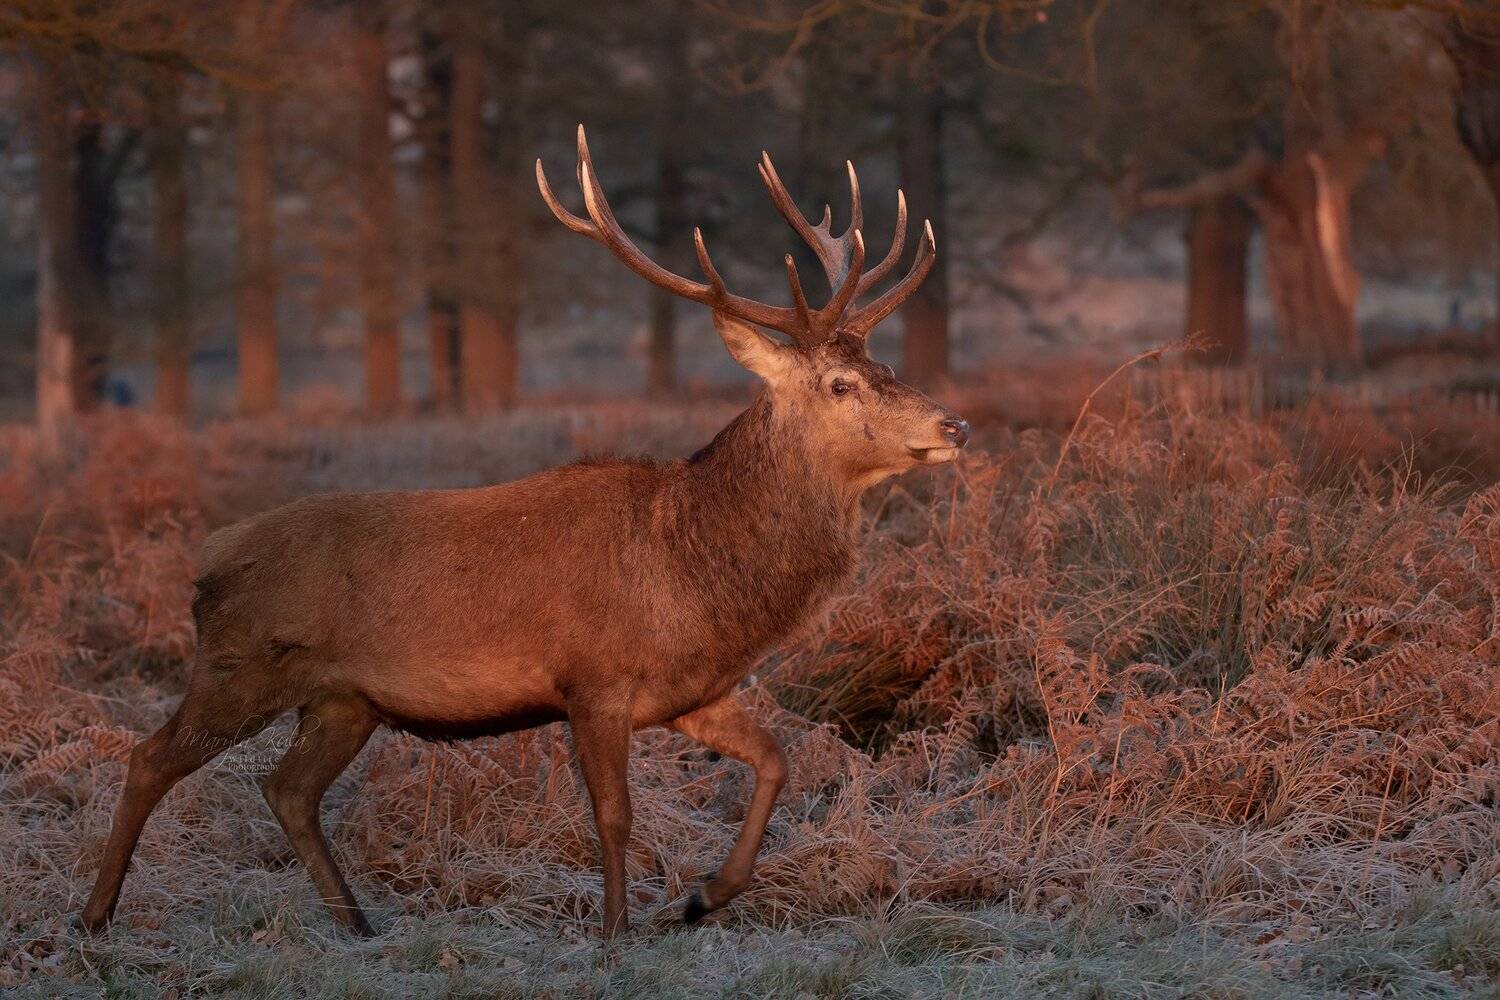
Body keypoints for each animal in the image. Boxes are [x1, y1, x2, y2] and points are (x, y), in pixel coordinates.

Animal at [79, 125, 969, 940]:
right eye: (841, 382)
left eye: (887, 366)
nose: (953, 424)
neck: (693, 572)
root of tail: (207, 559)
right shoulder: (594, 679)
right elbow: (614, 815)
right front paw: (615, 937)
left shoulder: (691, 691)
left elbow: (777, 760)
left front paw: (704, 896)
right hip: (237, 668)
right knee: (148, 757)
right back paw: (94, 917)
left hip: (343, 700)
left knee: (289, 788)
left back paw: (358, 925)